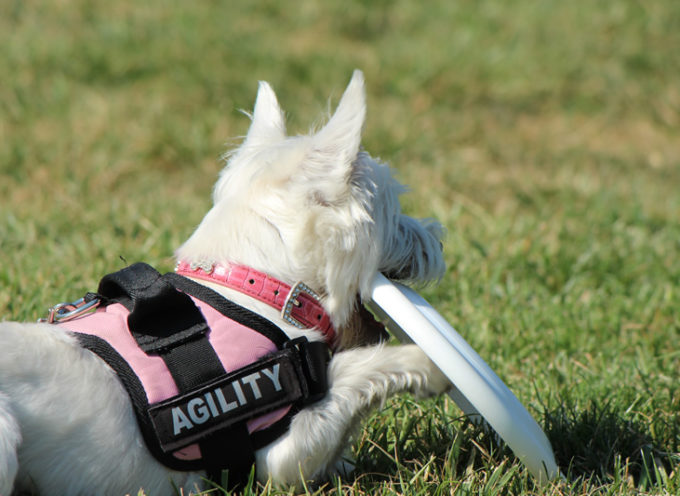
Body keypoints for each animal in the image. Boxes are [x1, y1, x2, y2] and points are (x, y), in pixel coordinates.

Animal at [0, 70, 448, 496]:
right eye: (395, 212)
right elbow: (357, 372)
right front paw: (427, 364)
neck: (256, 286)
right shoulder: (284, 454)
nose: (439, 239)